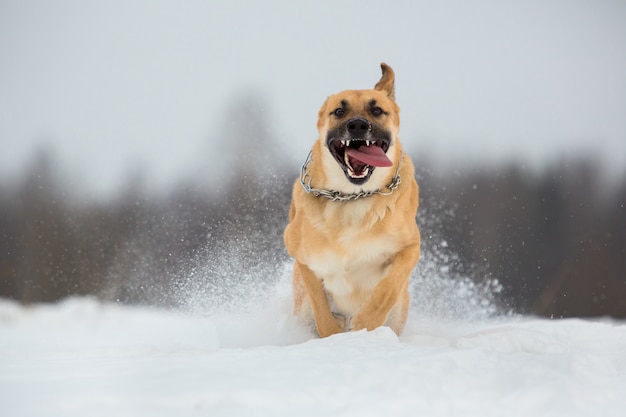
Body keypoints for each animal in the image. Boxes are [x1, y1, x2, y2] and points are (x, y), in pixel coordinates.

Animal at [282, 61, 420, 336]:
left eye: (377, 110)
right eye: (338, 111)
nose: (357, 125)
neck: (350, 198)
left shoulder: (411, 247)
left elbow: (388, 288)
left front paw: (365, 324)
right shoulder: (303, 257)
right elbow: (320, 307)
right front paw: (334, 333)